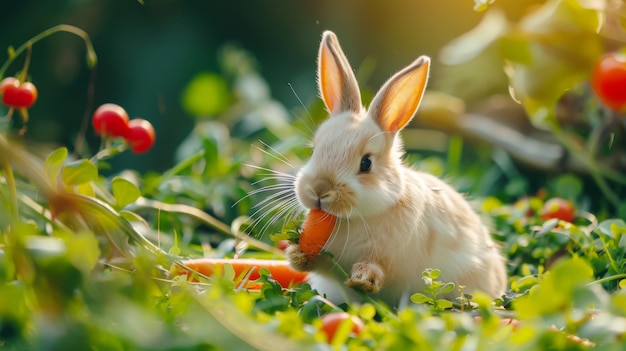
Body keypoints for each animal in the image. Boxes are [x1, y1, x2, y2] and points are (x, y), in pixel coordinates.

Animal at [284, 31, 508, 308]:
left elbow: (377, 268)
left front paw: (363, 279)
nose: (319, 190)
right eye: (314, 150)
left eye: (366, 163)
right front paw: (296, 255)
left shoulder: (387, 255)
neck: (357, 218)